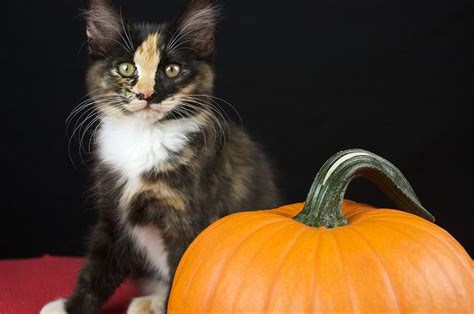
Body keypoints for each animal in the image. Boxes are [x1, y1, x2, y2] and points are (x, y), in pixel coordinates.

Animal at [41, 0, 278, 314]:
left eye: (172, 70)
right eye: (126, 67)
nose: (147, 94)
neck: (145, 138)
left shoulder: (187, 220)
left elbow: (181, 273)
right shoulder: (113, 213)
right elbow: (97, 268)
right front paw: (70, 306)